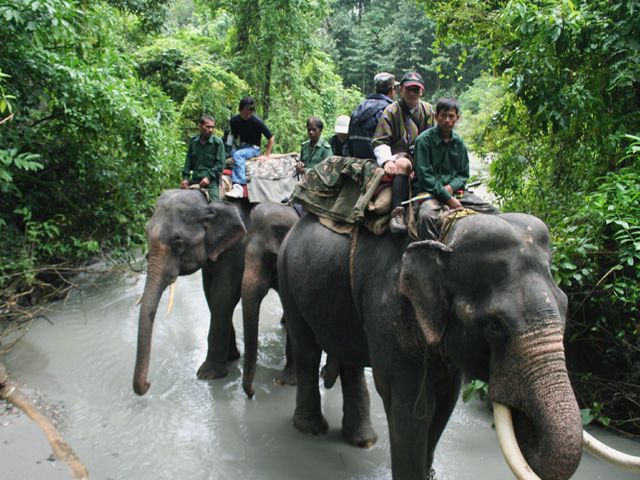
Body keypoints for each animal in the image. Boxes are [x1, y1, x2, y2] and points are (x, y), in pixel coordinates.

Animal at [132, 189, 297, 396]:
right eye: (146, 235)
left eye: (178, 243)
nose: (148, 384)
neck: (210, 202)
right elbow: (209, 293)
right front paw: (232, 357)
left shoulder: (235, 250)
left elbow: (223, 295)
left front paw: (208, 375)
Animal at [278, 212, 638, 480]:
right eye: (494, 324)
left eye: (565, 307)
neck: (445, 236)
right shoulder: (390, 304)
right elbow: (408, 403)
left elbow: (445, 399)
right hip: (288, 276)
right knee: (307, 348)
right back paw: (311, 430)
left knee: (348, 357)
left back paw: (362, 441)